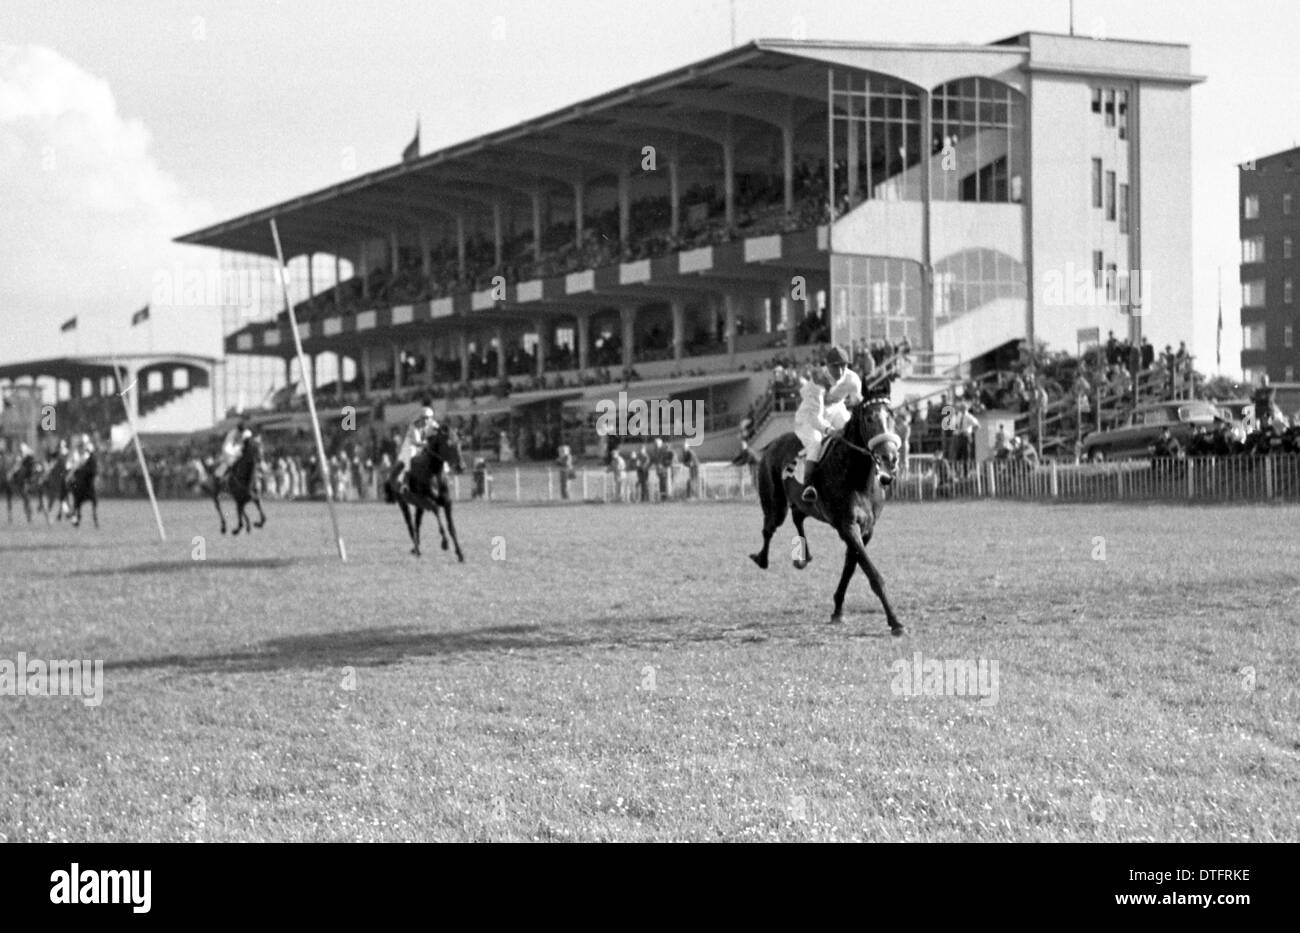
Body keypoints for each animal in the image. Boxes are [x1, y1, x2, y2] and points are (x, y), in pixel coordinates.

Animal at [384, 426, 462, 563]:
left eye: (459, 443)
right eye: (449, 444)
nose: (460, 466)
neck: (433, 471)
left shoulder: (447, 502)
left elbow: (451, 527)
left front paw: (460, 554)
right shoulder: (424, 500)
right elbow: (436, 509)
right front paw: (445, 543)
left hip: (418, 506)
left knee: (417, 524)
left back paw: (415, 548)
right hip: (403, 503)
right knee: (410, 525)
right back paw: (417, 549)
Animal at [754, 397, 904, 639]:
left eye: (891, 415)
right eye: (869, 418)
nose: (889, 457)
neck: (855, 475)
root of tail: (770, 446)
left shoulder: (866, 530)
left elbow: (851, 567)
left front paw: (838, 609)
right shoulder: (847, 526)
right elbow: (871, 573)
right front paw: (895, 621)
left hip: (801, 504)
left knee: (798, 517)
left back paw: (804, 557)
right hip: (774, 503)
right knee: (769, 528)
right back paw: (762, 558)